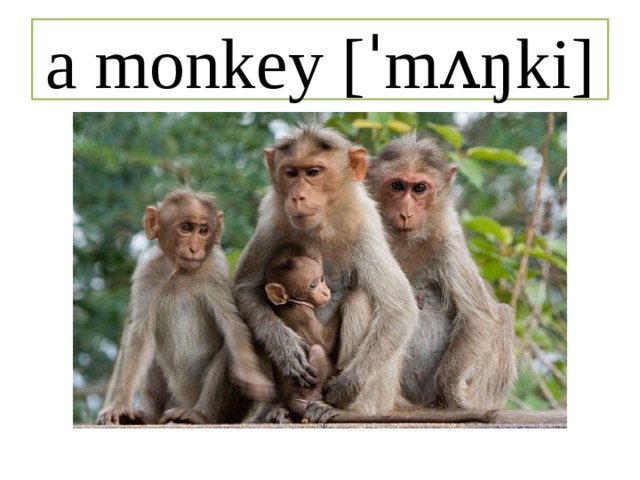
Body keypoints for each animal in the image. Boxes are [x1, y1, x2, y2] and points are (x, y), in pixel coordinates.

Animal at [97, 188, 274, 425]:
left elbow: (232, 323)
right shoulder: (147, 274)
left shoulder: (214, 269)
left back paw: (200, 415)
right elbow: (141, 335)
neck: (179, 273)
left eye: (204, 231)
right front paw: (118, 405)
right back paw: (148, 416)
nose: (194, 248)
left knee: (228, 353)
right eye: (186, 228)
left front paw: (251, 376)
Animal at [263, 244, 342, 422]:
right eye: (312, 285)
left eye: (322, 279)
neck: (291, 303)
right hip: (307, 388)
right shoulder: (305, 316)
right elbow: (325, 342)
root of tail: (293, 400)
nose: (326, 292)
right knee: (318, 349)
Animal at [366, 133, 517, 410]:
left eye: (419, 188)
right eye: (397, 186)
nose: (406, 213)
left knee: (502, 314)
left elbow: (480, 317)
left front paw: (452, 393)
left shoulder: (448, 239)